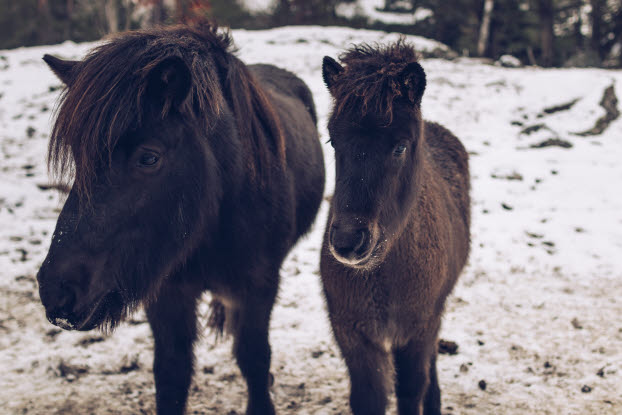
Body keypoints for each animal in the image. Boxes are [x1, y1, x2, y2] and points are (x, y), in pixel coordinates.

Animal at [37, 23, 326, 415]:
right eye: (80, 159)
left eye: (149, 157)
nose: (56, 289)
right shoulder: (167, 292)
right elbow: (172, 373)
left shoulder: (258, 286)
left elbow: (253, 359)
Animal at [322, 39, 472, 415]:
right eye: (333, 141)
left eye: (401, 145)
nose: (349, 240)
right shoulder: (355, 335)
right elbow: (370, 398)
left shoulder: (417, 330)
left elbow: (411, 390)